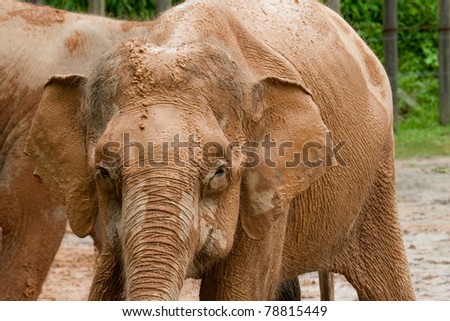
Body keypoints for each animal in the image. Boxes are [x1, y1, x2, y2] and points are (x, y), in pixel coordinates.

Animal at [24, 0, 414, 300]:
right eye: (103, 173)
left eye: (219, 172)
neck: (176, 43)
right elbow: (105, 288)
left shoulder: (266, 191)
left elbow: (231, 293)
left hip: (377, 173)